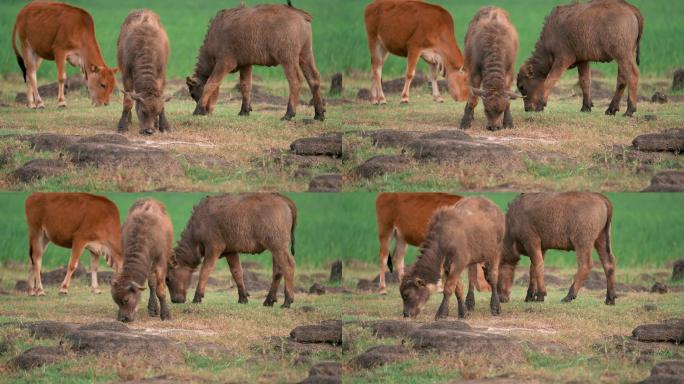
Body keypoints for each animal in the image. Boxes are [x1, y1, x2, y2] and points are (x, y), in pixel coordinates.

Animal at [166, 194, 296, 308]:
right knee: (278, 270)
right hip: (276, 250)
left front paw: (197, 297)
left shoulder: (214, 248)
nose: (175, 300)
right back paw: (269, 300)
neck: (199, 225)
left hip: (278, 247)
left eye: (167, 278)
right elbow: (237, 272)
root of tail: (283, 199)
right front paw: (243, 298)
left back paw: (287, 301)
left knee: (288, 266)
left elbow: (205, 271)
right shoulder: (230, 252)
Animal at [186, 0, 324, 121]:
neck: (215, 36)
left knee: (295, 81)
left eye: (193, 94)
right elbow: (245, 85)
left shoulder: (224, 64)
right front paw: (244, 111)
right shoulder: (246, 65)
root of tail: (299, 13)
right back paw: (319, 114)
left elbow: (210, 84)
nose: (206, 111)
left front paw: (198, 110)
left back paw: (288, 114)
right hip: (306, 54)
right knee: (314, 78)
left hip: (288, 59)